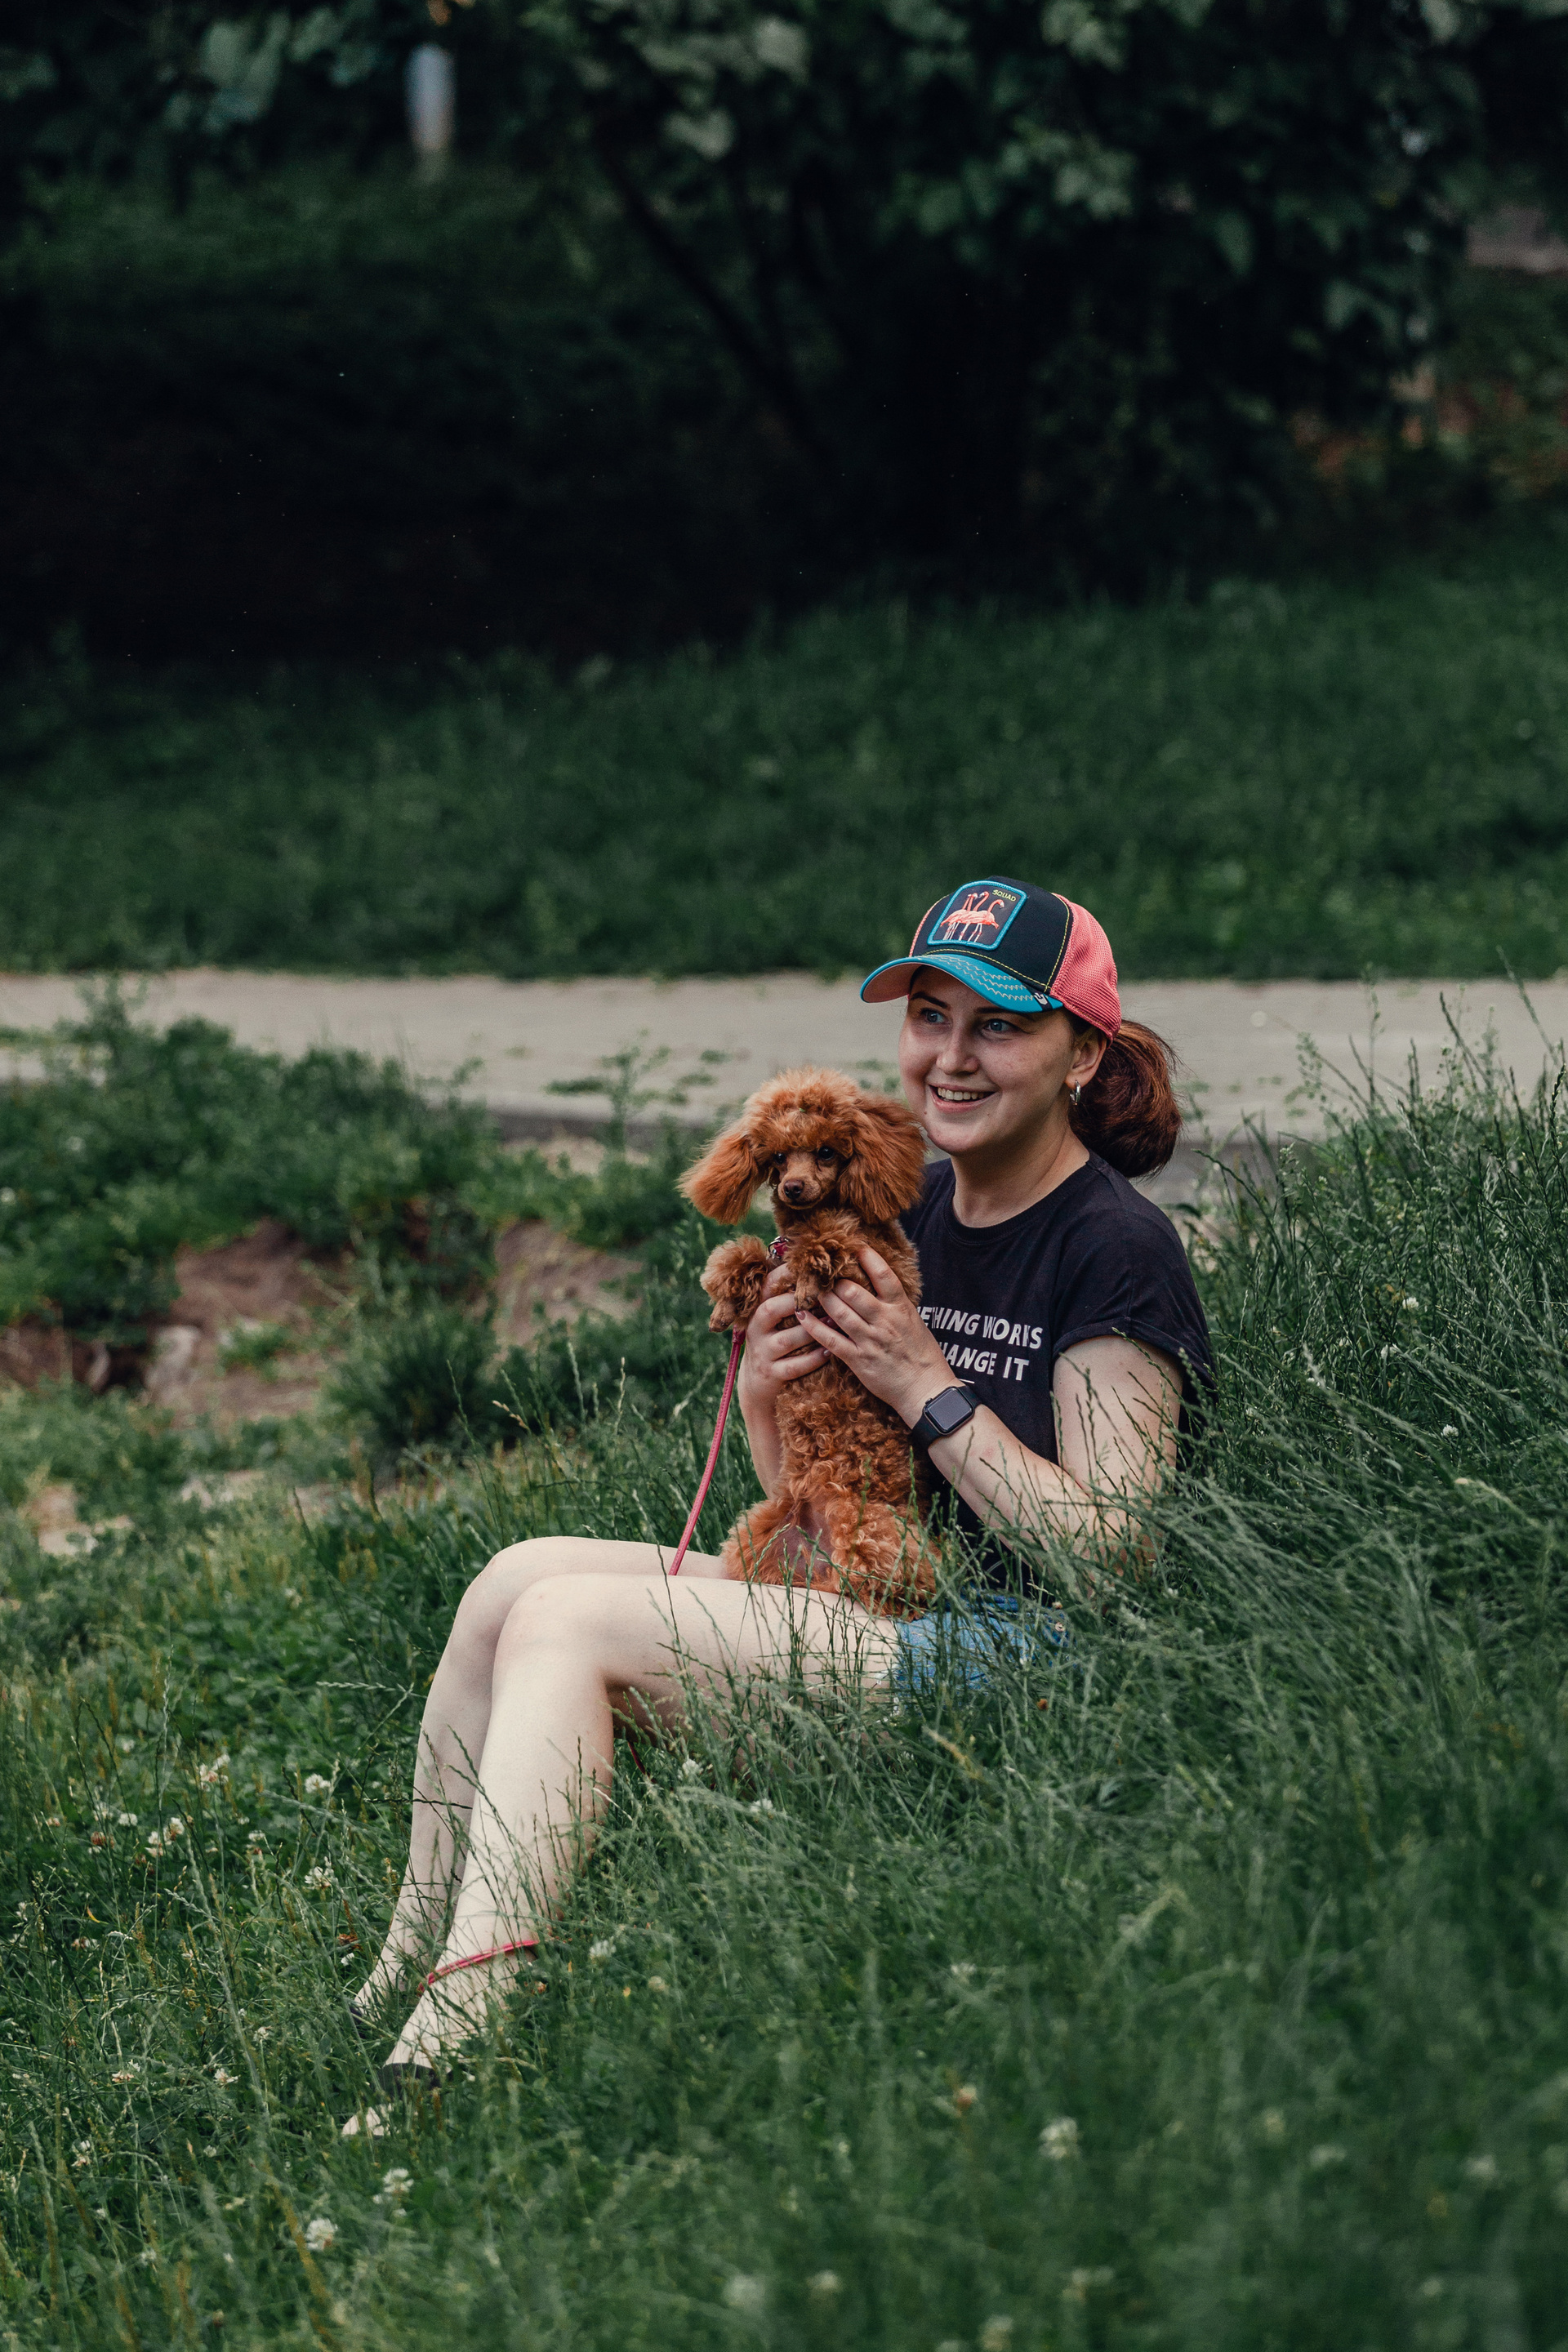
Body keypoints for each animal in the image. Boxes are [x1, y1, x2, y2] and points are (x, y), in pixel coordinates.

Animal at [680, 1066, 939, 1616]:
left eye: (826, 1152)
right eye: (776, 1158)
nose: (794, 1187)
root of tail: (817, 1552)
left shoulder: (882, 1271)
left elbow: (833, 1240)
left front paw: (809, 1270)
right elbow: (748, 1254)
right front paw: (729, 1297)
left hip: (871, 1525)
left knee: (890, 1583)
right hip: (758, 1534)